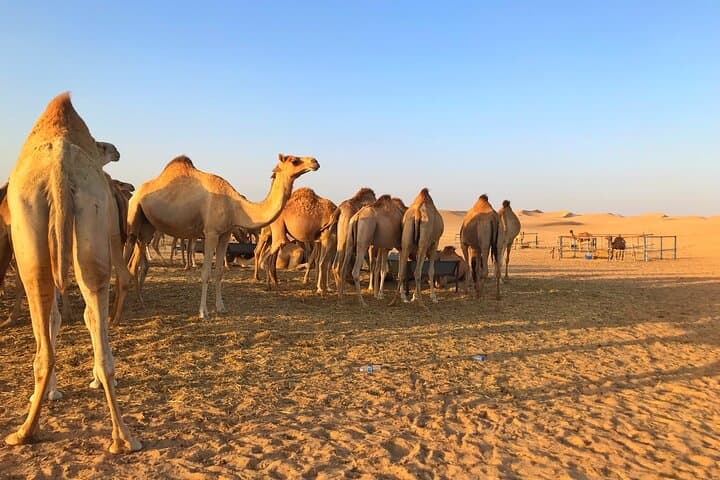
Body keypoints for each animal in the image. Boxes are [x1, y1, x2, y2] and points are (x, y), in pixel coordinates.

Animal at [5, 93, 140, 452]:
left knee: (52, 338)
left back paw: (25, 432)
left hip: (38, 248)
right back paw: (121, 436)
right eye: (102, 145)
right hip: (86, 225)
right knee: (91, 319)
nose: (117, 150)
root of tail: (59, 168)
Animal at [126, 153, 319, 319]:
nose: (315, 161)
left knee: (136, 260)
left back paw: (139, 300)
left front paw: (221, 308)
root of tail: (136, 193)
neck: (236, 207)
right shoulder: (211, 232)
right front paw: (203, 312)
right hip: (133, 216)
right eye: (294, 160)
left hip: (147, 227)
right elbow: (206, 273)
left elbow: (219, 272)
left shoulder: (225, 234)